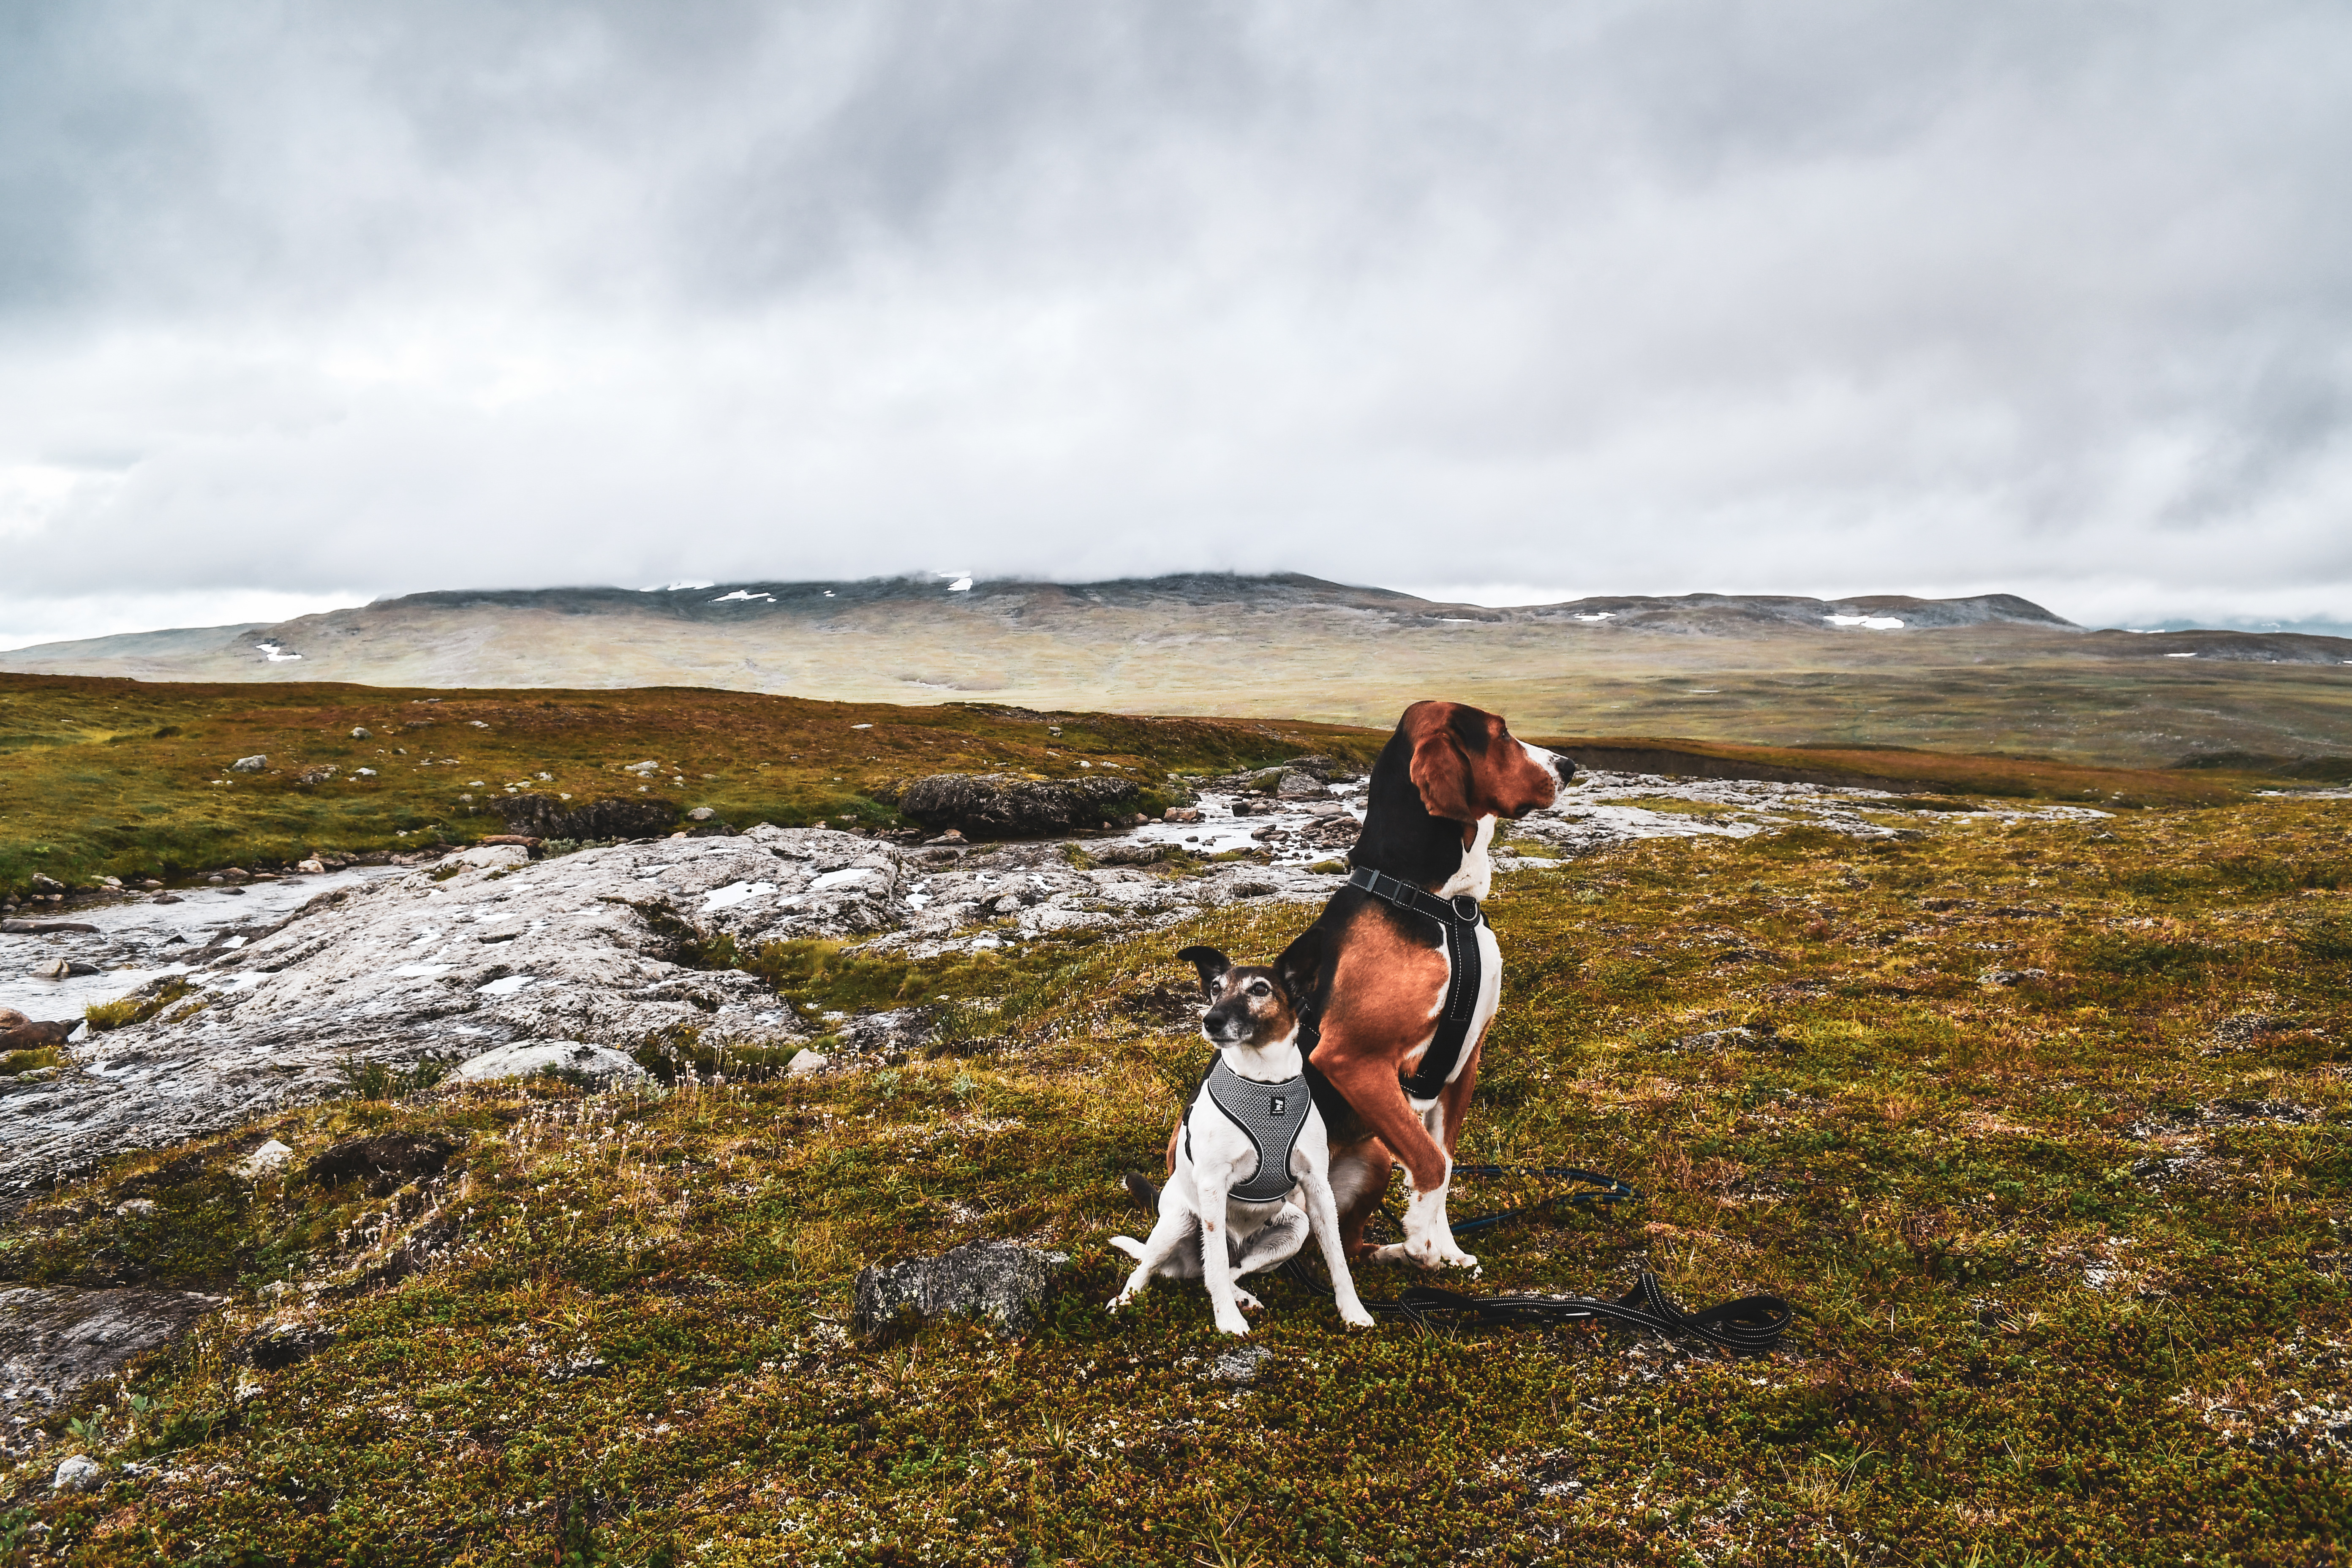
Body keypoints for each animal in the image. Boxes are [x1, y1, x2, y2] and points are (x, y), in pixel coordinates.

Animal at [1105, 931, 1373, 1335]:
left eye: (1260, 989)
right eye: (1216, 988)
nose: (1210, 1020)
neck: (1267, 1087)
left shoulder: (1318, 1188)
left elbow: (1338, 1260)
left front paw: (1353, 1311)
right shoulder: (1214, 1187)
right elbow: (1214, 1265)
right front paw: (1228, 1321)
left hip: (1295, 1228)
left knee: (1231, 1270)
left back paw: (1243, 1296)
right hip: (1180, 1221)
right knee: (1162, 1267)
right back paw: (1126, 1301)